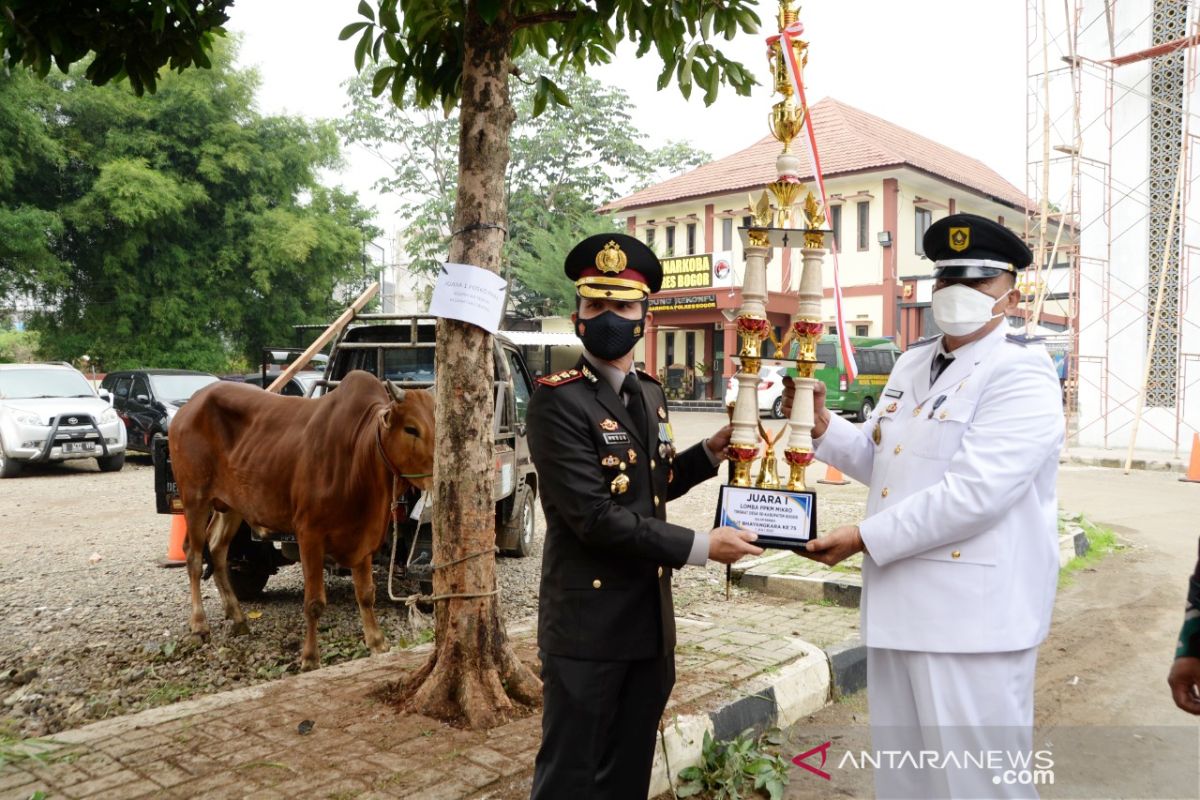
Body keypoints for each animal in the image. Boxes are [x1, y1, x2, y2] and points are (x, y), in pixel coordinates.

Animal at [166, 371, 434, 671]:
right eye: (411, 428)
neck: (358, 453)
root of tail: (189, 405)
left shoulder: (364, 538)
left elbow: (366, 594)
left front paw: (377, 643)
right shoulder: (309, 534)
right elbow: (314, 602)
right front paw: (310, 658)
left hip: (231, 505)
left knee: (217, 551)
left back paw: (237, 617)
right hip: (195, 498)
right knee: (193, 556)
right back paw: (199, 625)